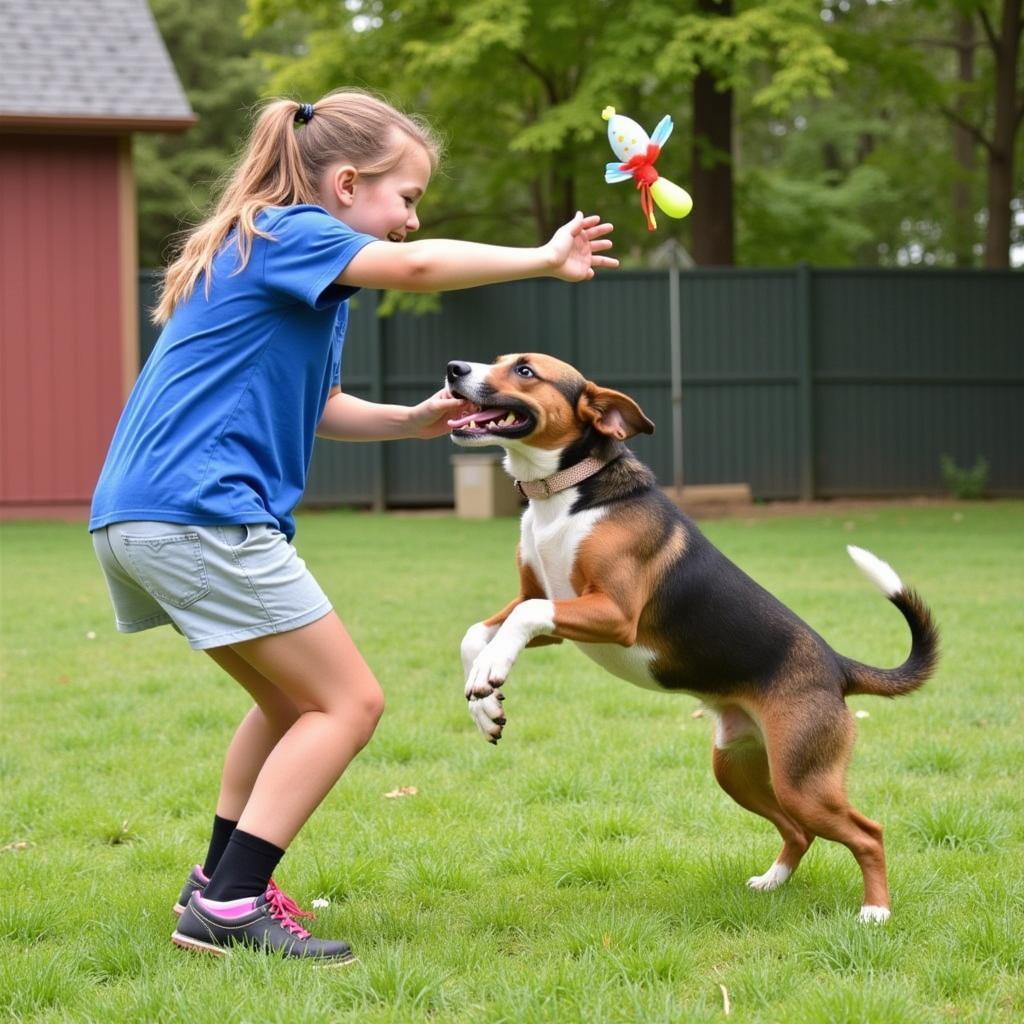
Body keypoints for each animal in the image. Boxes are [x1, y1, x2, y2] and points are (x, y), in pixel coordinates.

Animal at [444, 354, 937, 929]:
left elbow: (523, 617)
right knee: (798, 831)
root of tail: (837, 666)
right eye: (499, 361)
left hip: (803, 781)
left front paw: (491, 676)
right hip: (738, 770)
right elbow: (477, 633)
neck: (564, 495)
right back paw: (773, 881)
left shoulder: (611, 612)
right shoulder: (545, 602)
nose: (454, 369)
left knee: (868, 833)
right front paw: (485, 701)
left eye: (524, 371)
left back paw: (875, 911)